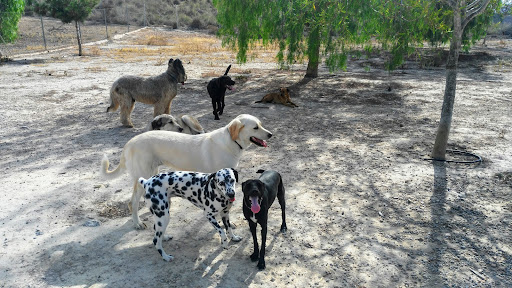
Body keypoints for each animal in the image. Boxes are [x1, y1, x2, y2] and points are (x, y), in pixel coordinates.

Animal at [101, 113, 274, 228]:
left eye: (261, 124)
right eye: (255, 127)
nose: (271, 134)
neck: (231, 141)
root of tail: (129, 143)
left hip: (152, 173)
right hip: (142, 175)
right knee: (133, 202)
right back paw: (137, 223)